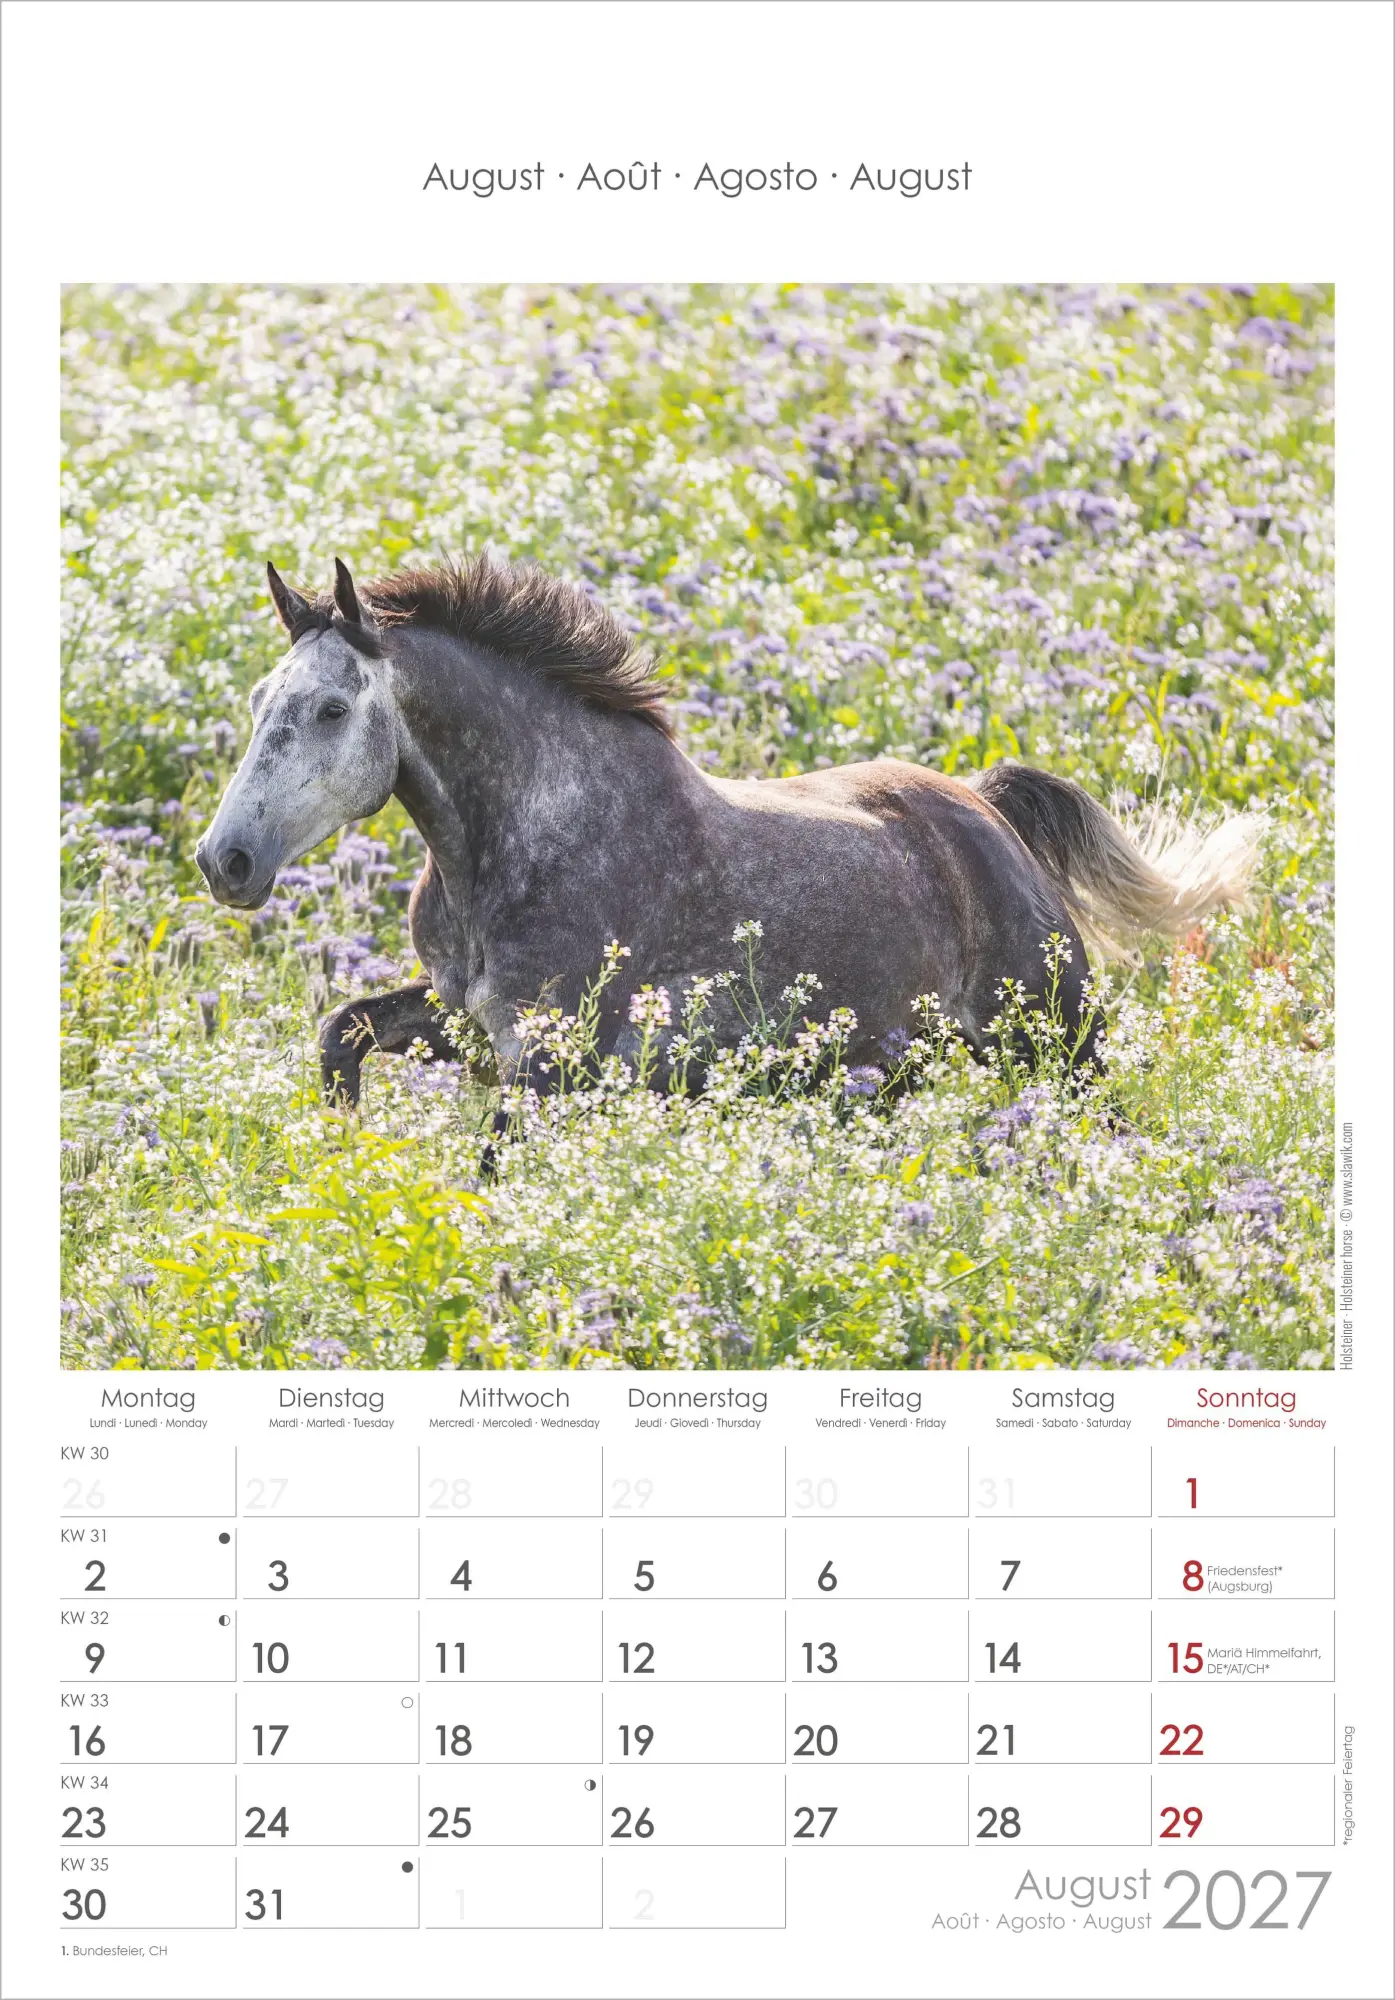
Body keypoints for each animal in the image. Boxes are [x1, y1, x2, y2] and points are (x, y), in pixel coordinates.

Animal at [196, 555, 1264, 1110]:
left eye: (333, 709)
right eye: (258, 701)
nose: (225, 861)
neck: (526, 843)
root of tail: (987, 810)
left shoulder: (548, 1061)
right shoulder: (467, 1024)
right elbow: (343, 1030)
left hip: (1052, 1043)